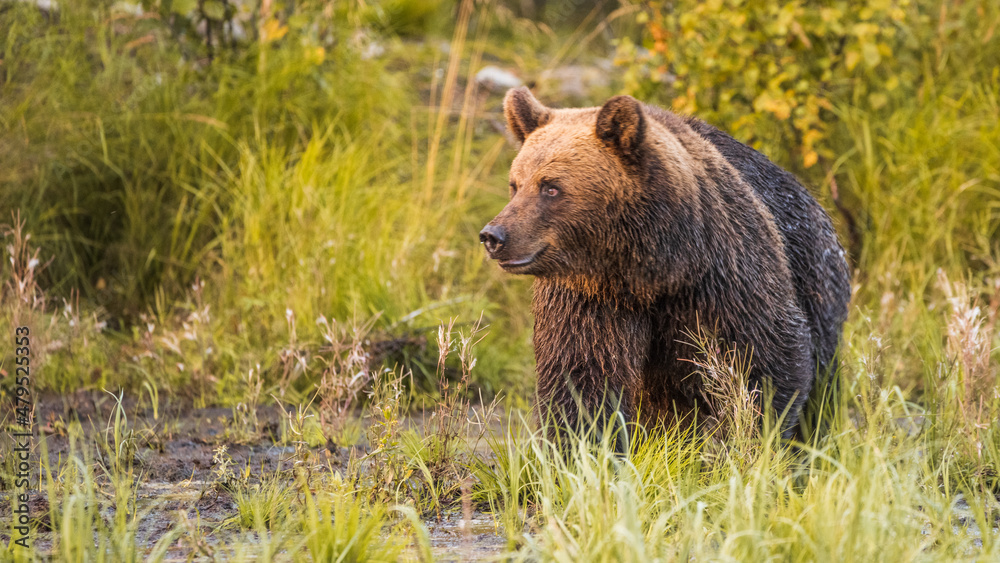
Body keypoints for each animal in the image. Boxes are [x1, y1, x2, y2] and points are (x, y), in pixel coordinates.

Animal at [480, 89, 848, 450]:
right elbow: (583, 374)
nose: (494, 235)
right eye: (515, 184)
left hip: (816, 278)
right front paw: (581, 447)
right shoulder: (588, 298)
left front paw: (744, 442)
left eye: (551, 187)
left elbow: (765, 363)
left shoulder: (726, 279)